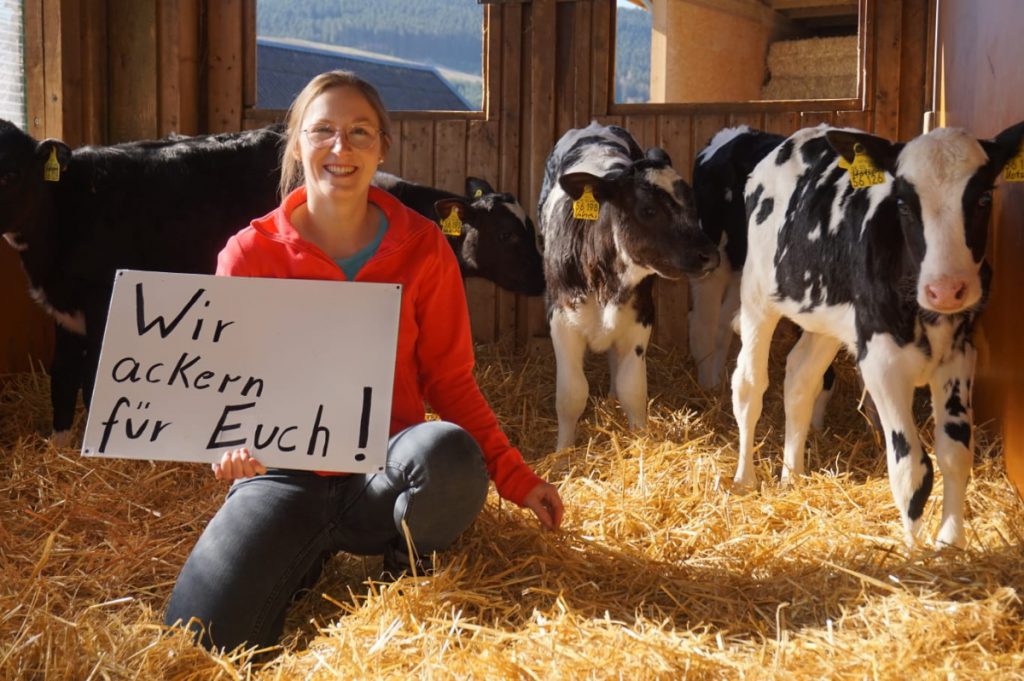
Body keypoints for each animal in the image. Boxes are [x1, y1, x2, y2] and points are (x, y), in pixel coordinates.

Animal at [540, 122, 716, 450]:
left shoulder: (640, 316)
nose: (709, 255)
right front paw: (563, 452)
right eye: (648, 210)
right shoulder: (561, 320)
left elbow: (632, 389)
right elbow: (571, 395)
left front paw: (640, 441)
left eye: (693, 203)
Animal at [737, 123, 1024, 548]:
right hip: (758, 293)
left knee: (800, 377)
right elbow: (912, 468)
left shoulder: (959, 355)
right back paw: (744, 479)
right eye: (903, 203)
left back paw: (793, 475)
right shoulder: (881, 362)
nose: (946, 290)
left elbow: (955, 453)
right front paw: (914, 553)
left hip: (828, 319)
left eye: (984, 196)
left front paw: (949, 545)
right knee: (749, 384)